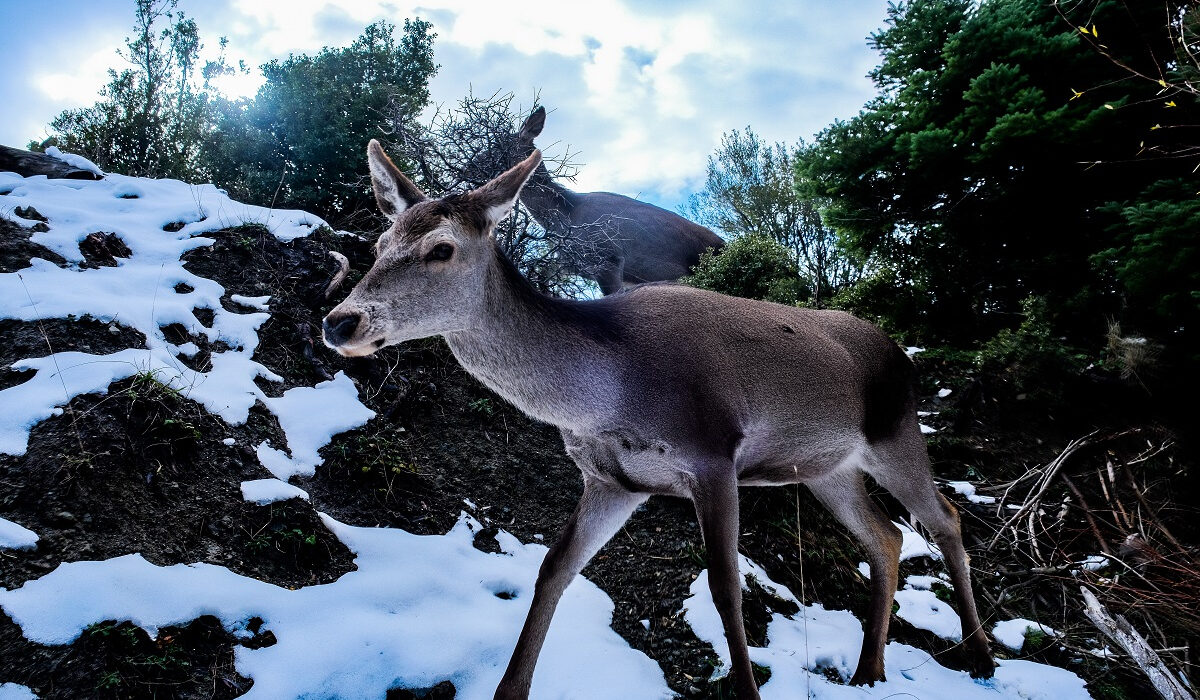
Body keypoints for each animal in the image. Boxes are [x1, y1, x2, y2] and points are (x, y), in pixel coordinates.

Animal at [326, 142, 993, 700]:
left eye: (441, 247)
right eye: (380, 246)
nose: (340, 321)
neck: (609, 395)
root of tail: (900, 352)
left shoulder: (713, 453)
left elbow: (725, 589)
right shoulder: (613, 481)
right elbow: (553, 570)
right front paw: (509, 690)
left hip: (896, 433)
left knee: (946, 518)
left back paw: (981, 658)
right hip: (827, 468)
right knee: (887, 536)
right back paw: (869, 669)